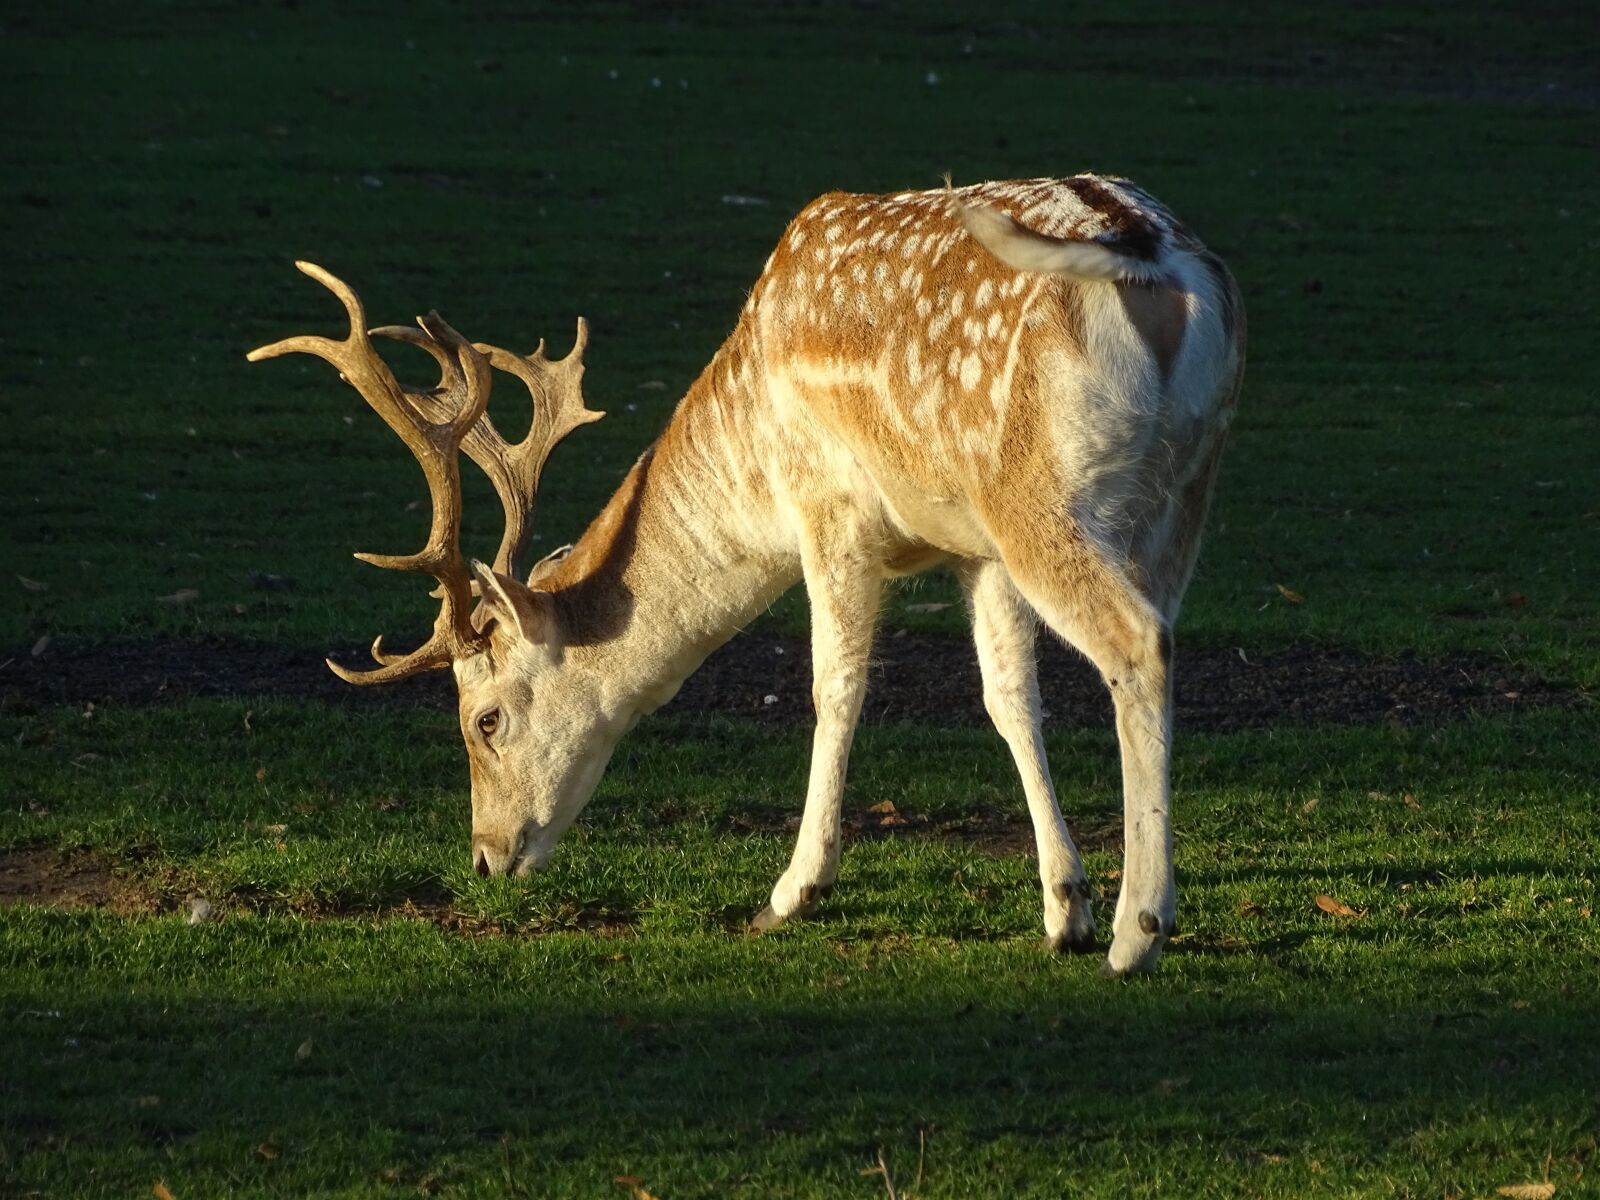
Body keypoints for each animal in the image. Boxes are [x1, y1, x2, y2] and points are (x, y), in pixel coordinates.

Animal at [248, 174, 1244, 976]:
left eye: (483, 719)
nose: (487, 856)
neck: (751, 462)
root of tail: (1163, 264)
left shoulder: (830, 509)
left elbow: (835, 688)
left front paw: (792, 891)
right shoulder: (974, 547)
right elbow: (1009, 702)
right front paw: (1061, 909)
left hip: (1042, 497)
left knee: (1134, 644)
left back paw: (1140, 932)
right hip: (1180, 492)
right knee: (1157, 635)